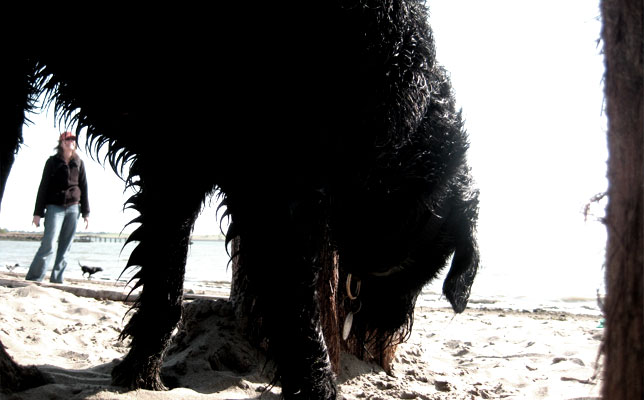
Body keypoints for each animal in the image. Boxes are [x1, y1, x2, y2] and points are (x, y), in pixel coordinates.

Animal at [0, 2, 478, 396]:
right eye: (409, 270)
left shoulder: (193, 170)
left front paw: (139, 374)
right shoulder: (258, 189)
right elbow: (295, 317)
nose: (392, 331)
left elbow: (166, 288)